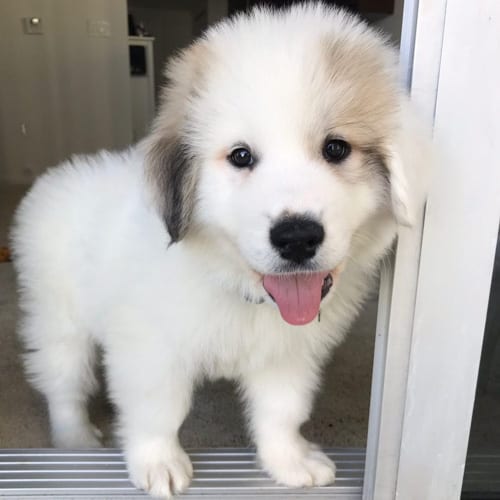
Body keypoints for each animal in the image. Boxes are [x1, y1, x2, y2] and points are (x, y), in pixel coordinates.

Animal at [13, 2, 432, 496]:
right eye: (241, 156)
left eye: (336, 148)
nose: (296, 237)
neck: (237, 284)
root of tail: (58, 175)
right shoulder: (149, 348)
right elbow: (158, 410)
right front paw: (158, 462)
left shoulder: (288, 352)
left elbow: (281, 411)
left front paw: (289, 462)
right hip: (59, 318)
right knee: (63, 383)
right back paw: (75, 442)